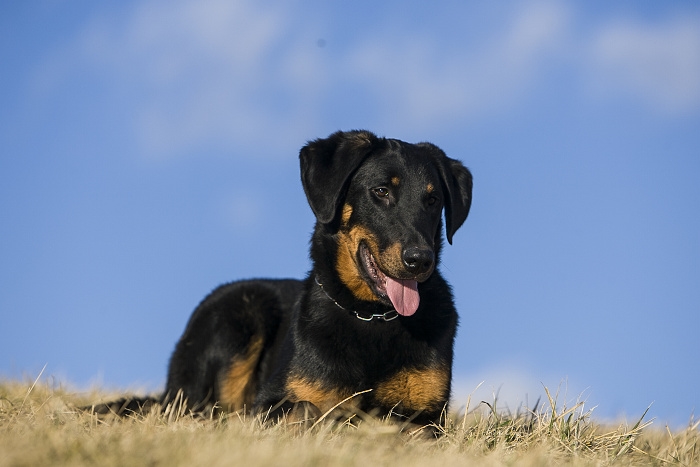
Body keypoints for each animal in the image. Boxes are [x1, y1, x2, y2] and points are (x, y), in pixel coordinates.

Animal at [90, 130, 474, 430]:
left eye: (433, 199)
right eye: (381, 191)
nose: (420, 260)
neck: (372, 316)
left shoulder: (428, 416)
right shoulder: (274, 399)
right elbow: (306, 409)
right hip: (239, 317)